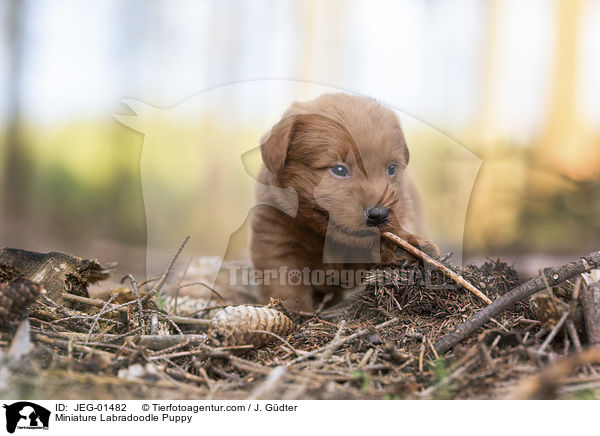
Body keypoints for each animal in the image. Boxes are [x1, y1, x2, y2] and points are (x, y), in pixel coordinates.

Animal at [248, 93, 436, 310]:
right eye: (339, 170)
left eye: (391, 169)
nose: (379, 214)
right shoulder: (276, 240)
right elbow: (285, 287)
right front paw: (292, 311)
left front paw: (408, 248)